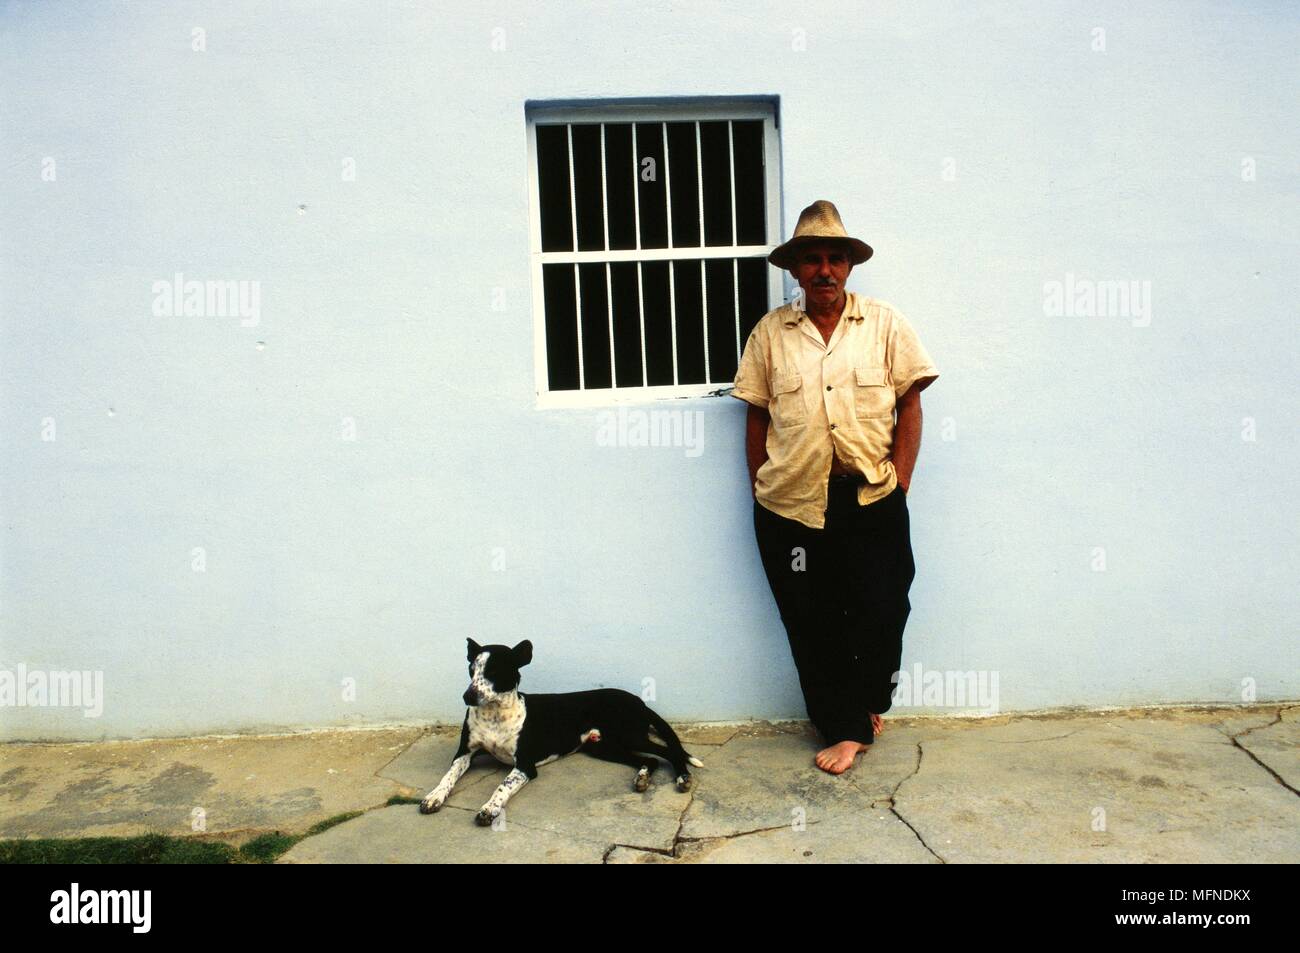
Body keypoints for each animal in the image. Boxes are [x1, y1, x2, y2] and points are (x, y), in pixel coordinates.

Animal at [418, 639, 702, 826]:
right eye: (471, 670)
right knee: (650, 760)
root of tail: (639, 701)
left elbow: (502, 785)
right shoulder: (464, 754)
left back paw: (682, 778)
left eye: (494, 671)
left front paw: (490, 808)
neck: (494, 715)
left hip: (629, 735)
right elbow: (448, 776)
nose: (467, 696)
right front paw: (434, 796)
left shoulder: (525, 765)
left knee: (670, 753)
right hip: (603, 746)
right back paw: (642, 778)